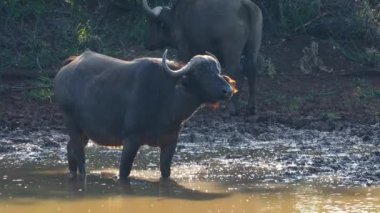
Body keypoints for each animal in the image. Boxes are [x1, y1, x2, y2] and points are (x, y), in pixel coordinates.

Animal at [53, 49, 235, 180]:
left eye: (217, 71)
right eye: (202, 72)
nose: (228, 90)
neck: (167, 97)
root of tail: (66, 69)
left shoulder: (171, 141)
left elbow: (166, 171)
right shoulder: (131, 139)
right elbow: (124, 172)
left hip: (84, 131)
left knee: (70, 148)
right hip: (70, 120)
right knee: (80, 156)